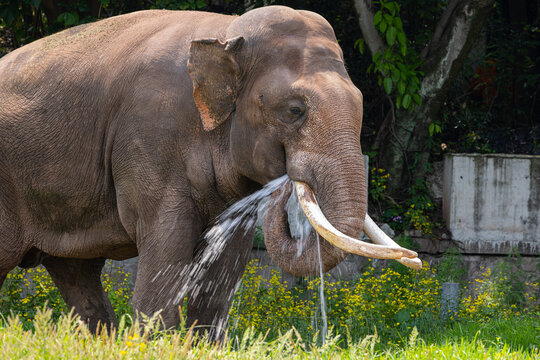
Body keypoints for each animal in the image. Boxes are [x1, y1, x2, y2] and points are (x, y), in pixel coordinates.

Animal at [0, 4, 422, 338]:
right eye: (295, 110)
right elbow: (166, 240)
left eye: (361, 102)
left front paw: (201, 345)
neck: (224, 33)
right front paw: (159, 345)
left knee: (77, 272)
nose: (416, 259)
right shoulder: (149, 137)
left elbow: (228, 252)